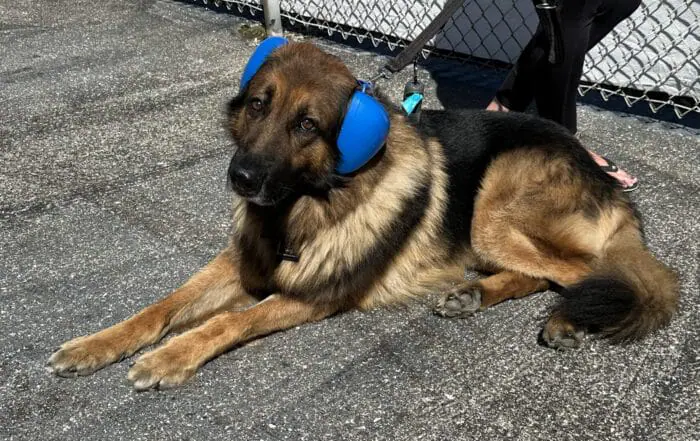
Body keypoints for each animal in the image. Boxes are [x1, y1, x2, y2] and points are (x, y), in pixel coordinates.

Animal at [45, 38, 680, 388]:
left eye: (306, 124)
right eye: (258, 105)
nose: (240, 178)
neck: (316, 202)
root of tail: (605, 176)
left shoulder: (315, 293)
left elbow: (228, 322)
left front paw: (173, 356)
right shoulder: (243, 263)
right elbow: (162, 305)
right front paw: (95, 345)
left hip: (493, 206)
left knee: (587, 273)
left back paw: (568, 318)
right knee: (540, 272)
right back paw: (473, 294)